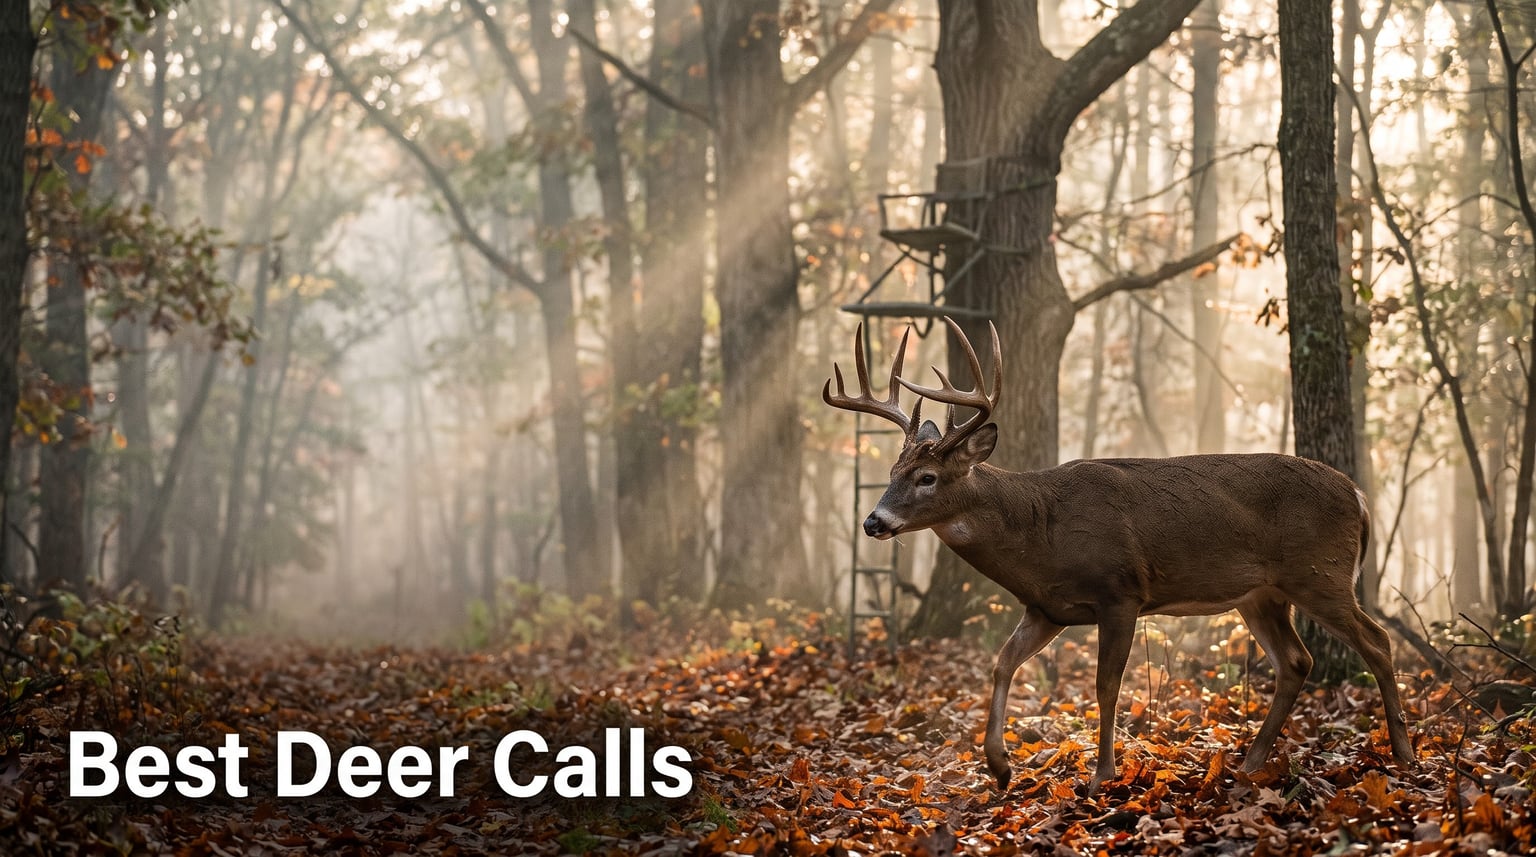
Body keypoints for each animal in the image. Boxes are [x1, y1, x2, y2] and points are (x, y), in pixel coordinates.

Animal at [823, 317, 1415, 794]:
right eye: (893, 472)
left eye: (926, 477)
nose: (874, 522)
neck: (1041, 533)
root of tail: (1359, 495)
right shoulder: (1047, 609)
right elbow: (1002, 662)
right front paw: (999, 765)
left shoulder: (1120, 591)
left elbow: (1106, 686)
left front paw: (1101, 774)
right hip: (1261, 595)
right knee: (1297, 661)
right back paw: (1249, 763)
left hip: (1320, 573)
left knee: (1378, 640)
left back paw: (1405, 753)